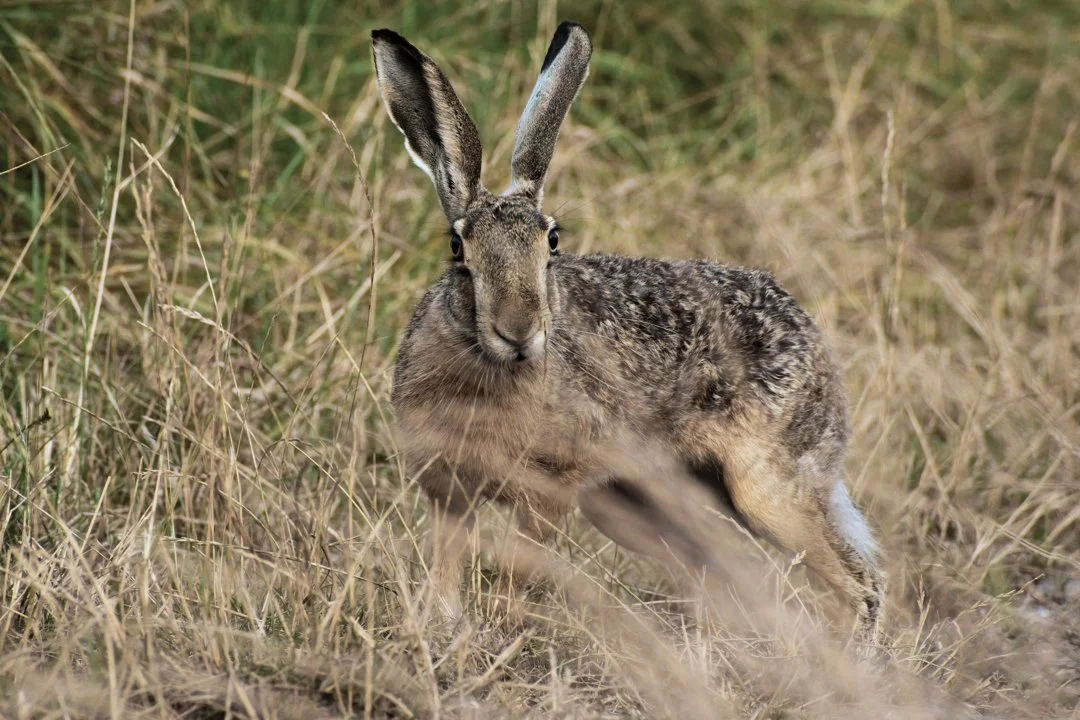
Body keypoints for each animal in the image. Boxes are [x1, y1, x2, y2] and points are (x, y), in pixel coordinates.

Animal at [371, 21, 885, 644]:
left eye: (552, 242)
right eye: (456, 248)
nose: (519, 331)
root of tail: (818, 349)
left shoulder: (550, 488)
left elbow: (521, 567)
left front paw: (504, 629)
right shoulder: (448, 491)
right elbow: (447, 566)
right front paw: (440, 628)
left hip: (764, 488)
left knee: (857, 585)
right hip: (636, 502)